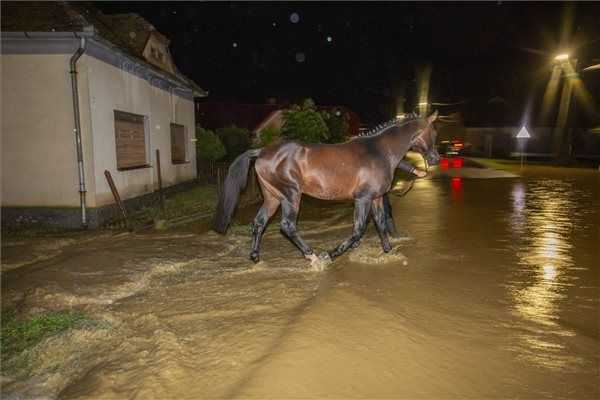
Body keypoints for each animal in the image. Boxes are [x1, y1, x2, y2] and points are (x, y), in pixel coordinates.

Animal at [216, 111, 440, 264]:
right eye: (433, 133)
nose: (435, 159)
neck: (378, 151)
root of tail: (262, 151)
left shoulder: (376, 197)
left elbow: (381, 222)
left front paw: (388, 250)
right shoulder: (363, 198)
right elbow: (358, 229)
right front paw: (331, 254)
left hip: (273, 197)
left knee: (259, 222)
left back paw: (255, 257)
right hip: (290, 195)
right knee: (287, 225)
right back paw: (313, 256)